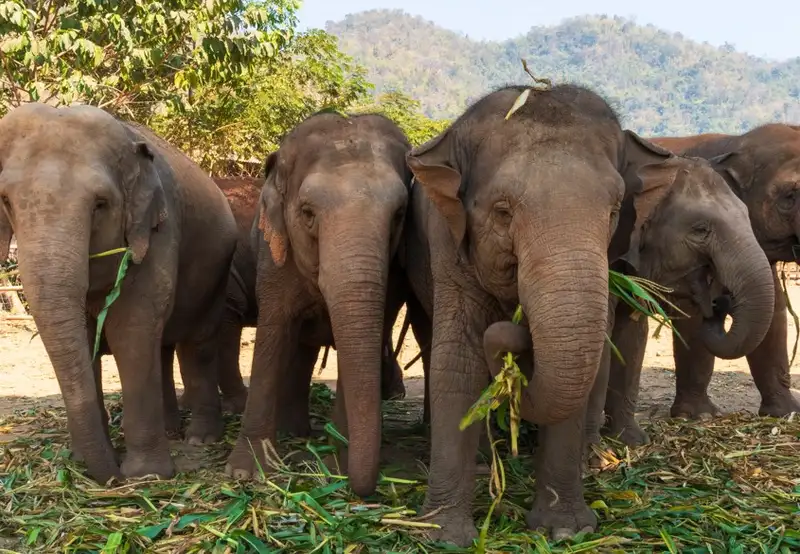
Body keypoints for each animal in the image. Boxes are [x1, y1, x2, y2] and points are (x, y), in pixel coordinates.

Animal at [0, 103, 238, 482]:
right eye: (6, 201)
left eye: (100, 204)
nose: (112, 477)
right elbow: (85, 338)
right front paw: (88, 459)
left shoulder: (158, 230)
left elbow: (132, 330)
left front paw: (145, 476)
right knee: (163, 348)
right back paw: (170, 430)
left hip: (217, 269)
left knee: (196, 345)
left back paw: (199, 439)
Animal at [224, 111, 411, 497]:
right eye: (308, 213)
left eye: (400, 214)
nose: (360, 488)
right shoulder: (274, 258)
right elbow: (274, 331)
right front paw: (245, 474)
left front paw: (338, 466)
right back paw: (292, 432)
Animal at [399, 84, 700, 545]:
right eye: (503, 211)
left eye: (615, 209)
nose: (513, 327)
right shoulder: (446, 248)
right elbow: (458, 364)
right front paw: (441, 535)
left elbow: (583, 366)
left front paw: (566, 531)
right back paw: (485, 462)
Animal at [484, 152, 776, 451]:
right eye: (700, 229)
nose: (720, 303)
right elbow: (605, 336)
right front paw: (595, 451)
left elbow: (632, 337)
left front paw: (631, 442)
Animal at [639, 124, 800, 421]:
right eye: (789, 196)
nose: (721, 303)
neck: (735, 143)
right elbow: (690, 316)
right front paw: (699, 417)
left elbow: (774, 315)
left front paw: (786, 413)